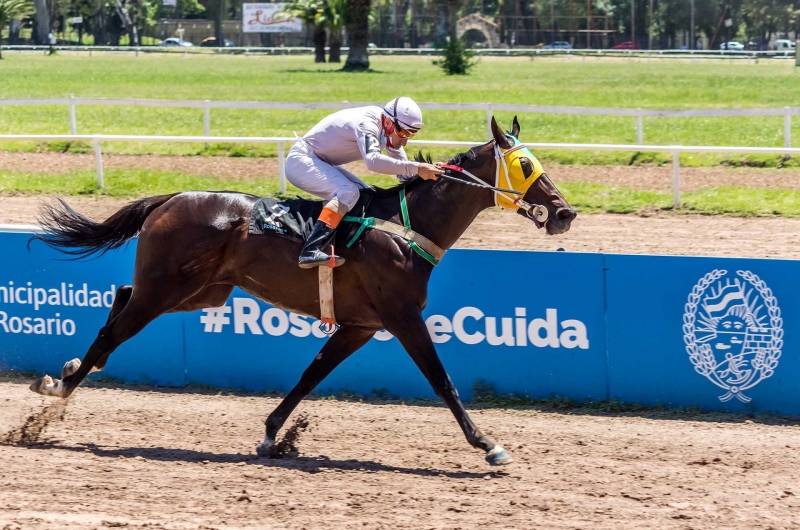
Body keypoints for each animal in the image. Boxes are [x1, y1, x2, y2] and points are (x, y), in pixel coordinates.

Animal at [26, 115, 576, 462]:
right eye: (525, 166)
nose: (565, 213)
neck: (406, 228)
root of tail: (170, 198)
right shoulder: (402, 317)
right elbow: (443, 381)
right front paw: (489, 444)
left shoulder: (359, 325)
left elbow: (311, 375)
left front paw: (272, 436)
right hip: (166, 289)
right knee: (116, 328)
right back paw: (58, 388)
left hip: (201, 291)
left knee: (120, 297)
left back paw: (69, 371)